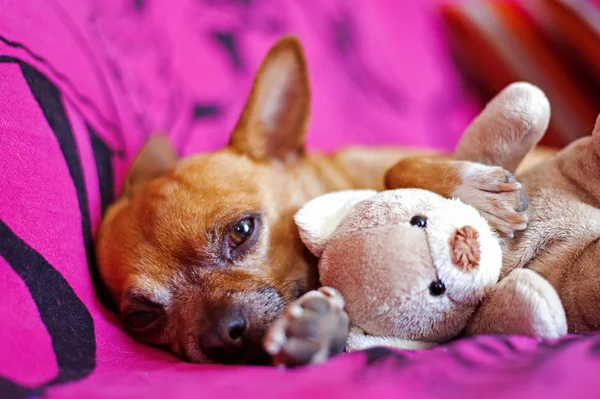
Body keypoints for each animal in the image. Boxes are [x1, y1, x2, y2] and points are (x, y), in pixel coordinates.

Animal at [96, 34, 536, 366]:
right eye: (141, 317)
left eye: (242, 231)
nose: (221, 334)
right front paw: (315, 331)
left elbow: (396, 168)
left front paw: (471, 187)